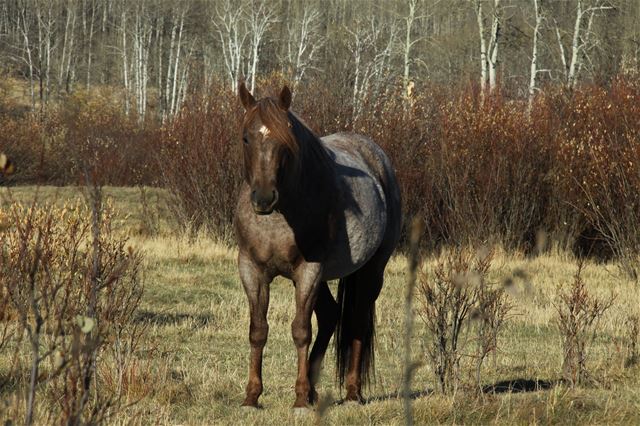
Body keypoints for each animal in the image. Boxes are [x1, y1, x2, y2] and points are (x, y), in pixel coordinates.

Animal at [235, 81, 400, 412]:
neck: (279, 218)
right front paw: (252, 397)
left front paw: (299, 399)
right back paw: (314, 389)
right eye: (246, 137)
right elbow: (257, 331)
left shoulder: (308, 271)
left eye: (285, 141)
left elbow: (301, 331)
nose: (263, 197)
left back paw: (351, 393)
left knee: (356, 321)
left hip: (371, 271)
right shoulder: (251, 269)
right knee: (330, 315)